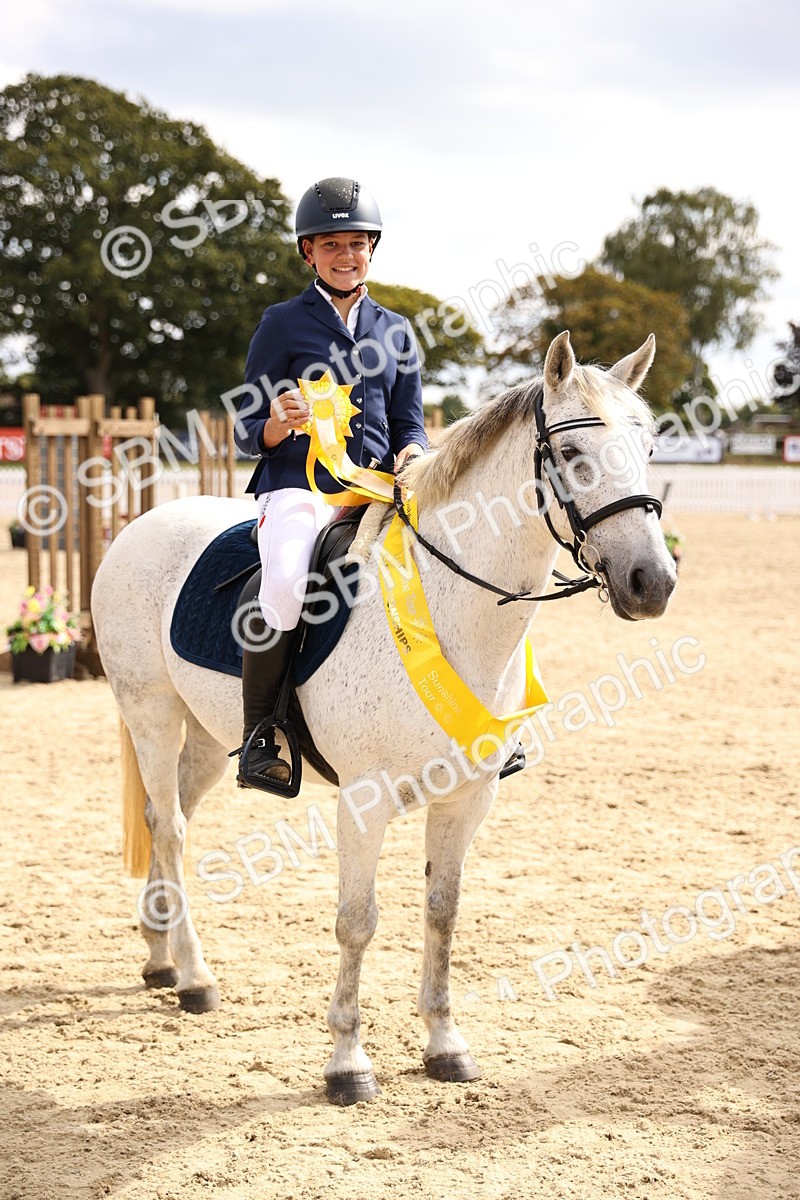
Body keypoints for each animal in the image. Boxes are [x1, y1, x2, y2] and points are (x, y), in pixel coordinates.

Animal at [91, 330, 676, 1105]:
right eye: (574, 454)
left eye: (649, 448)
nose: (653, 583)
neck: (452, 606)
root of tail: (142, 523)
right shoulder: (363, 801)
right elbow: (358, 923)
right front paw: (347, 1062)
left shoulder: (468, 799)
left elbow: (442, 913)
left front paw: (445, 1045)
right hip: (150, 710)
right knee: (171, 826)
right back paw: (193, 976)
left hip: (207, 733)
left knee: (174, 818)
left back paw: (160, 955)